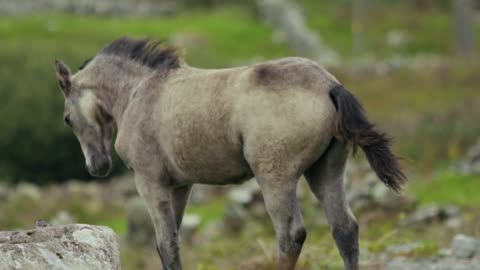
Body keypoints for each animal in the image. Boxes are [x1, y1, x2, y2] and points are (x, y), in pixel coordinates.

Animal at [53, 36, 404, 270]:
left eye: (67, 118)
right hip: (325, 170)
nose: (97, 166)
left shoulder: (150, 182)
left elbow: (166, 244)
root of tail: (329, 84)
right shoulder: (180, 186)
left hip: (275, 177)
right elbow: (171, 243)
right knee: (345, 229)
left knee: (290, 235)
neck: (140, 92)